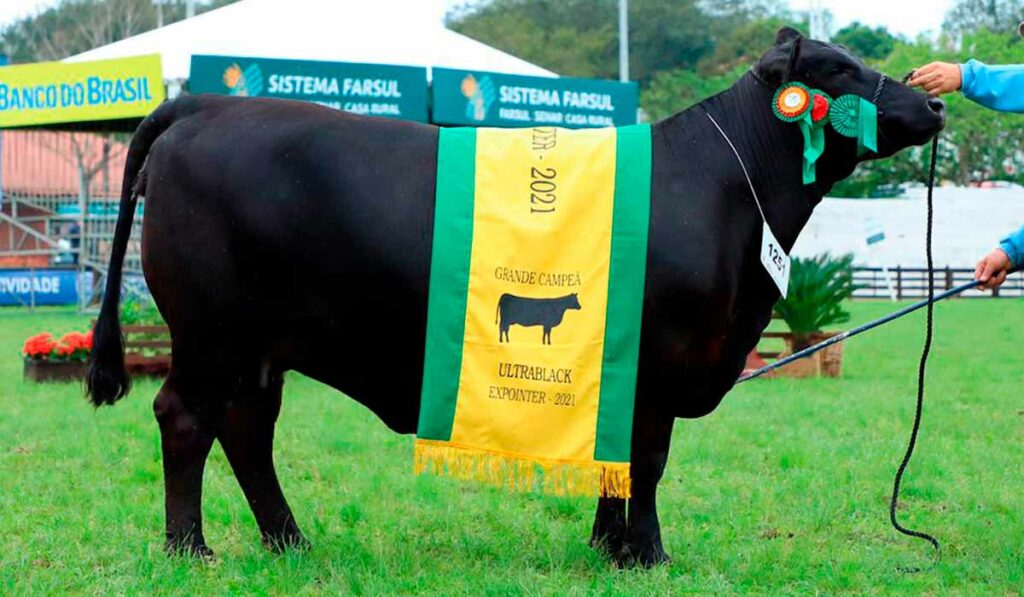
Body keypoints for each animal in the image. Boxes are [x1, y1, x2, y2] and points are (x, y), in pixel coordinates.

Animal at [86, 28, 942, 569]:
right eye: (836, 71)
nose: (933, 103)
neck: (725, 187)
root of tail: (207, 104)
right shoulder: (657, 361)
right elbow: (647, 459)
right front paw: (648, 554)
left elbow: (615, 461)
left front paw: (609, 546)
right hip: (210, 332)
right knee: (186, 418)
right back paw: (190, 548)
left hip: (263, 346)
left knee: (246, 429)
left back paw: (289, 541)